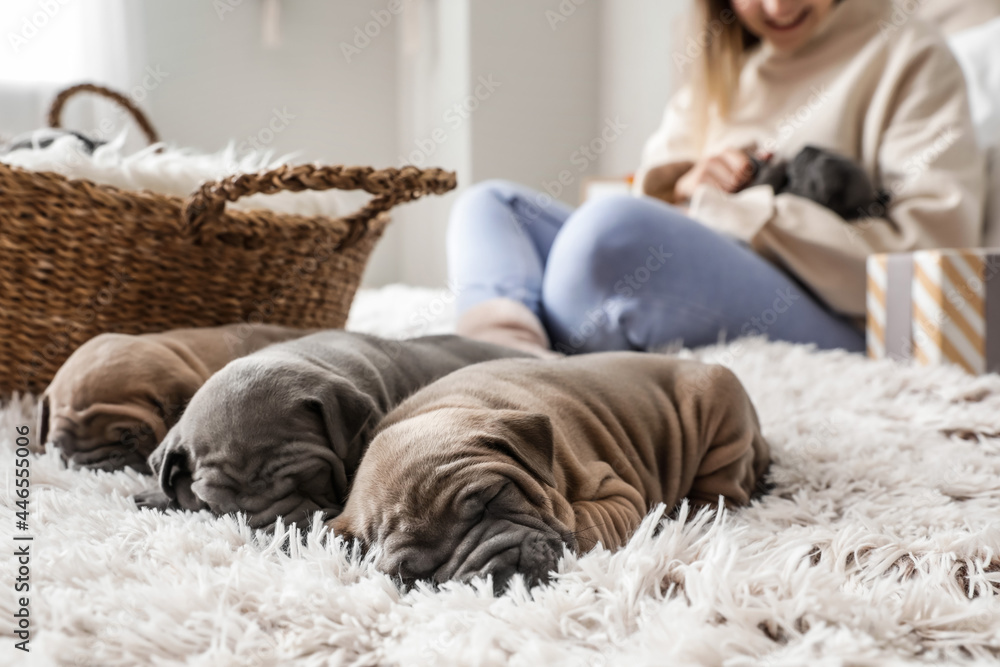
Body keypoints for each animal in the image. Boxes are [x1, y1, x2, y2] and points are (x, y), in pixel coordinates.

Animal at [332, 352, 768, 592]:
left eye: (494, 497)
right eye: (409, 576)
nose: (497, 570)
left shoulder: (615, 493)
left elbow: (586, 523)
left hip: (721, 411)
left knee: (723, 491)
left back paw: (691, 516)